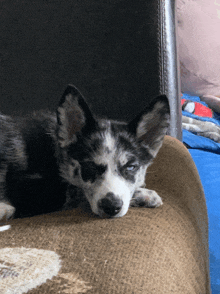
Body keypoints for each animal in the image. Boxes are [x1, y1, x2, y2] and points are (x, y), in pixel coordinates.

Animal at [0, 84, 170, 219]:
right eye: (89, 167)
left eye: (131, 167)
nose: (111, 207)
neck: (57, 152)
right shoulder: (32, 193)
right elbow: (76, 191)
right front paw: (145, 195)